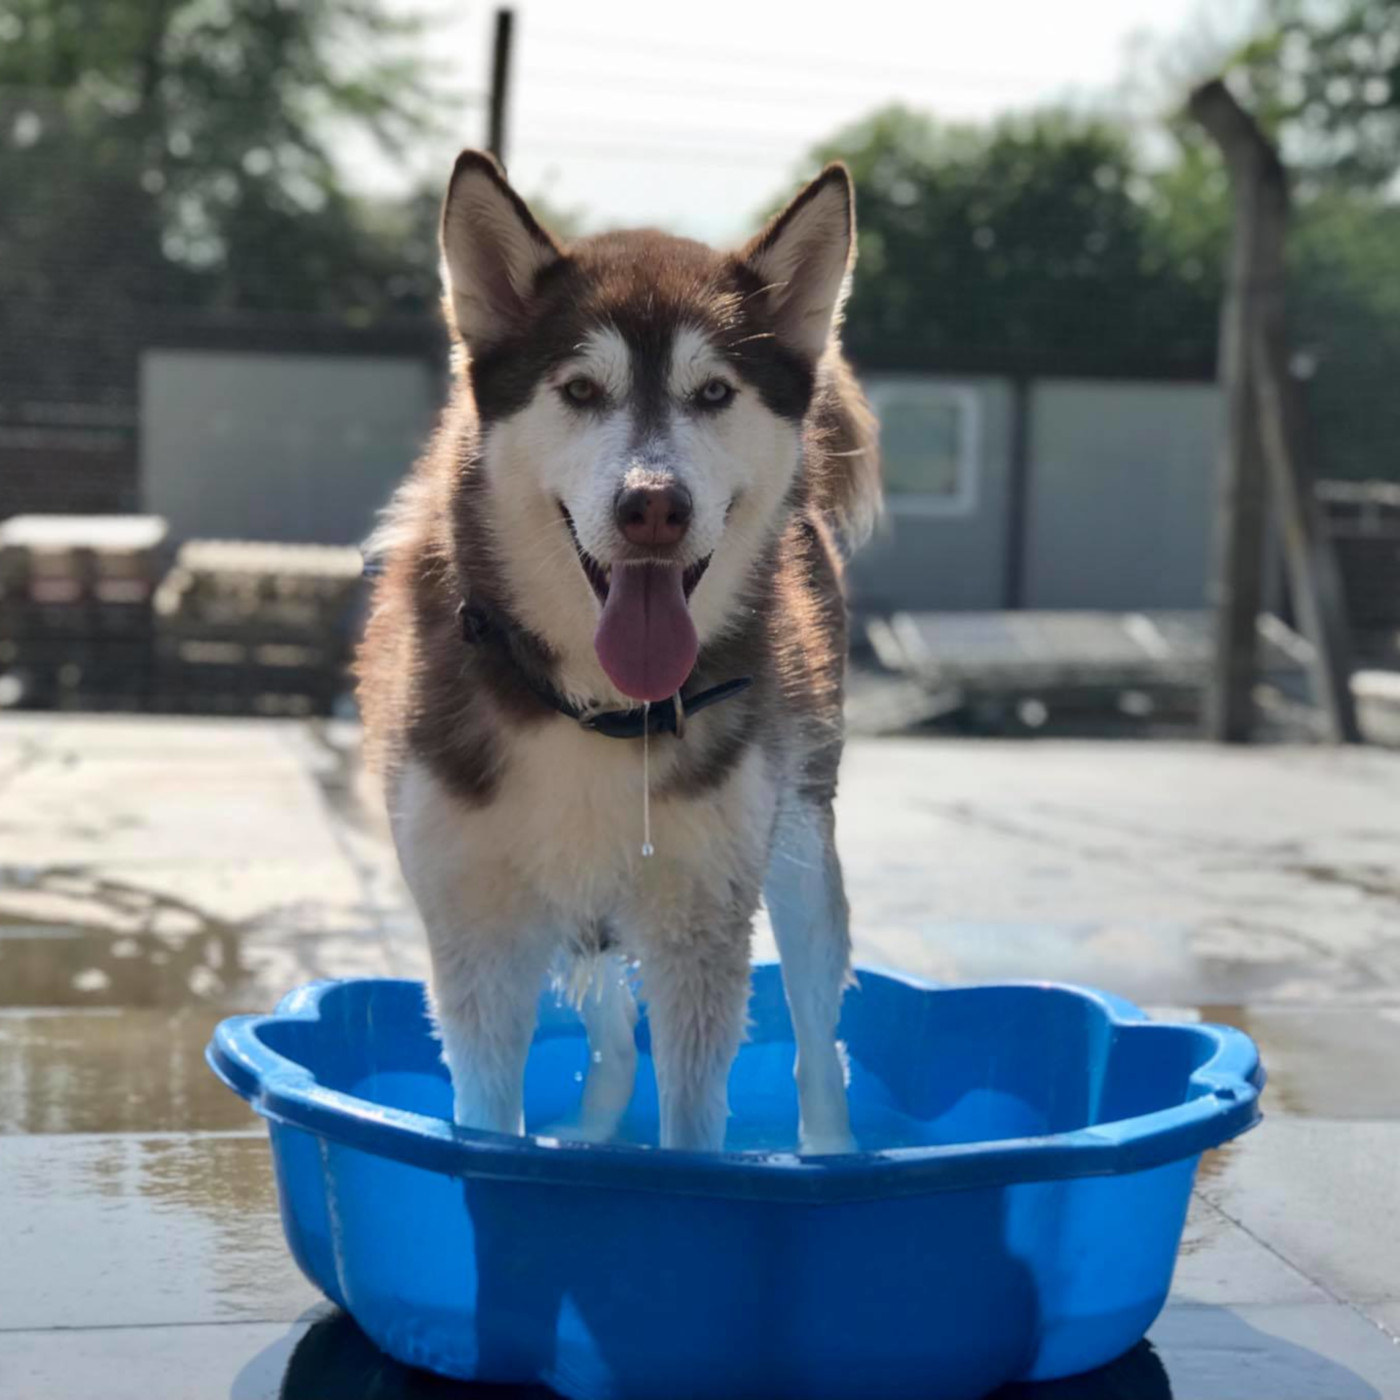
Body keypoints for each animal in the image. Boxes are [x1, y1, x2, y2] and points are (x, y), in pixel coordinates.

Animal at [361, 150, 884, 1148]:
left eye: (713, 392)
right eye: (580, 391)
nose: (653, 507)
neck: (591, 709)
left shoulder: (700, 923)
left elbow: (691, 1126)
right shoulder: (476, 929)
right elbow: (488, 1124)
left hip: (802, 846)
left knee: (818, 1042)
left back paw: (834, 1149)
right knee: (610, 1037)